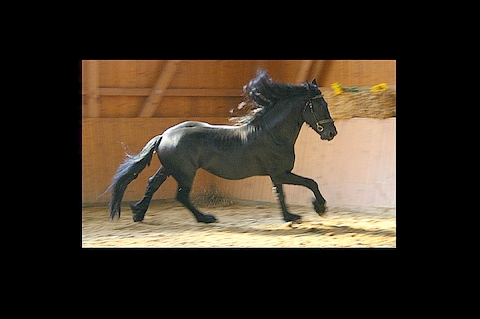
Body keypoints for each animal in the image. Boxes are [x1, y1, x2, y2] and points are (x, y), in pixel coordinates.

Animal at [105, 71, 338, 224]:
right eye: (319, 106)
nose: (332, 133)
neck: (273, 134)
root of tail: (164, 136)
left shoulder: (277, 175)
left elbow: (282, 193)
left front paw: (290, 216)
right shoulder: (280, 173)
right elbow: (309, 183)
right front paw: (318, 208)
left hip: (170, 169)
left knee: (153, 184)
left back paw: (138, 213)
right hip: (185, 172)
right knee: (181, 195)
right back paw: (205, 218)